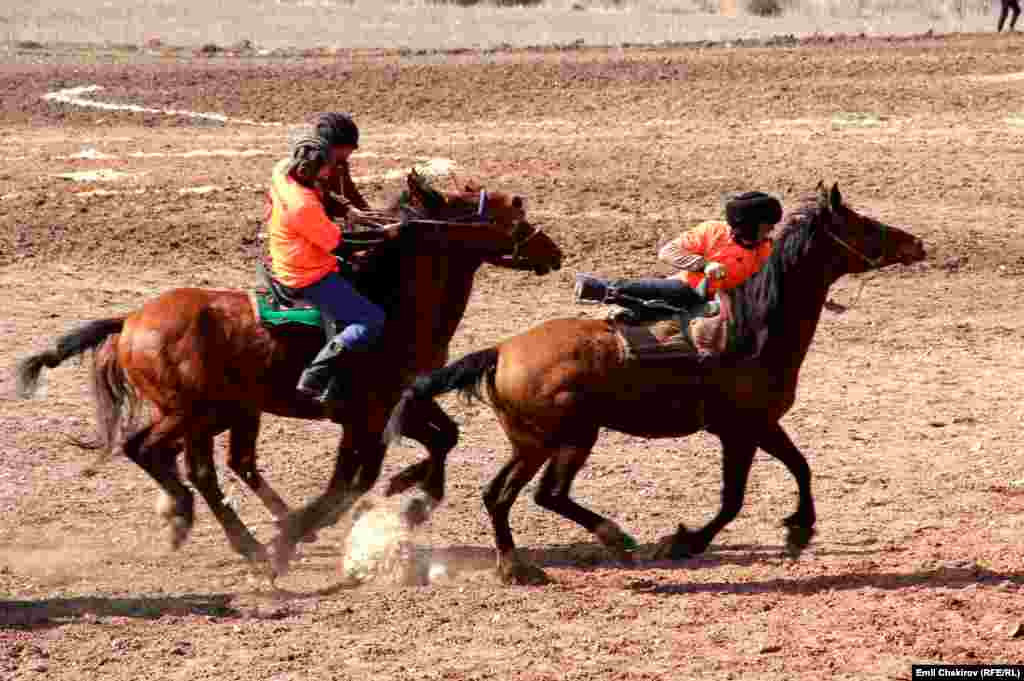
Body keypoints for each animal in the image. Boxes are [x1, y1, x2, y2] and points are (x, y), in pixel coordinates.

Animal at [16, 173, 565, 577]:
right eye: (511, 210)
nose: (553, 251)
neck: (395, 302)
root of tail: (132, 319)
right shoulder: (364, 416)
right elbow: (352, 477)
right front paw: (299, 532)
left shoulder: (399, 403)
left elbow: (441, 440)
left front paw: (409, 494)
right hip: (193, 413)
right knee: (162, 456)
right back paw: (226, 534)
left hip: (218, 414)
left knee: (192, 463)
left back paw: (207, 524)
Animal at [385, 182, 929, 585]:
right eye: (864, 224)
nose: (916, 244)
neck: (754, 328)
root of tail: (501, 351)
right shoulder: (740, 431)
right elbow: (734, 499)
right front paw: (684, 541)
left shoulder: (761, 425)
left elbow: (801, 467)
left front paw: (798, 530)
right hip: (570, 437)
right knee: (544, 495)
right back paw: (612, 541)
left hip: (531, 442)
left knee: (497, 494)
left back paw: (517, 566)